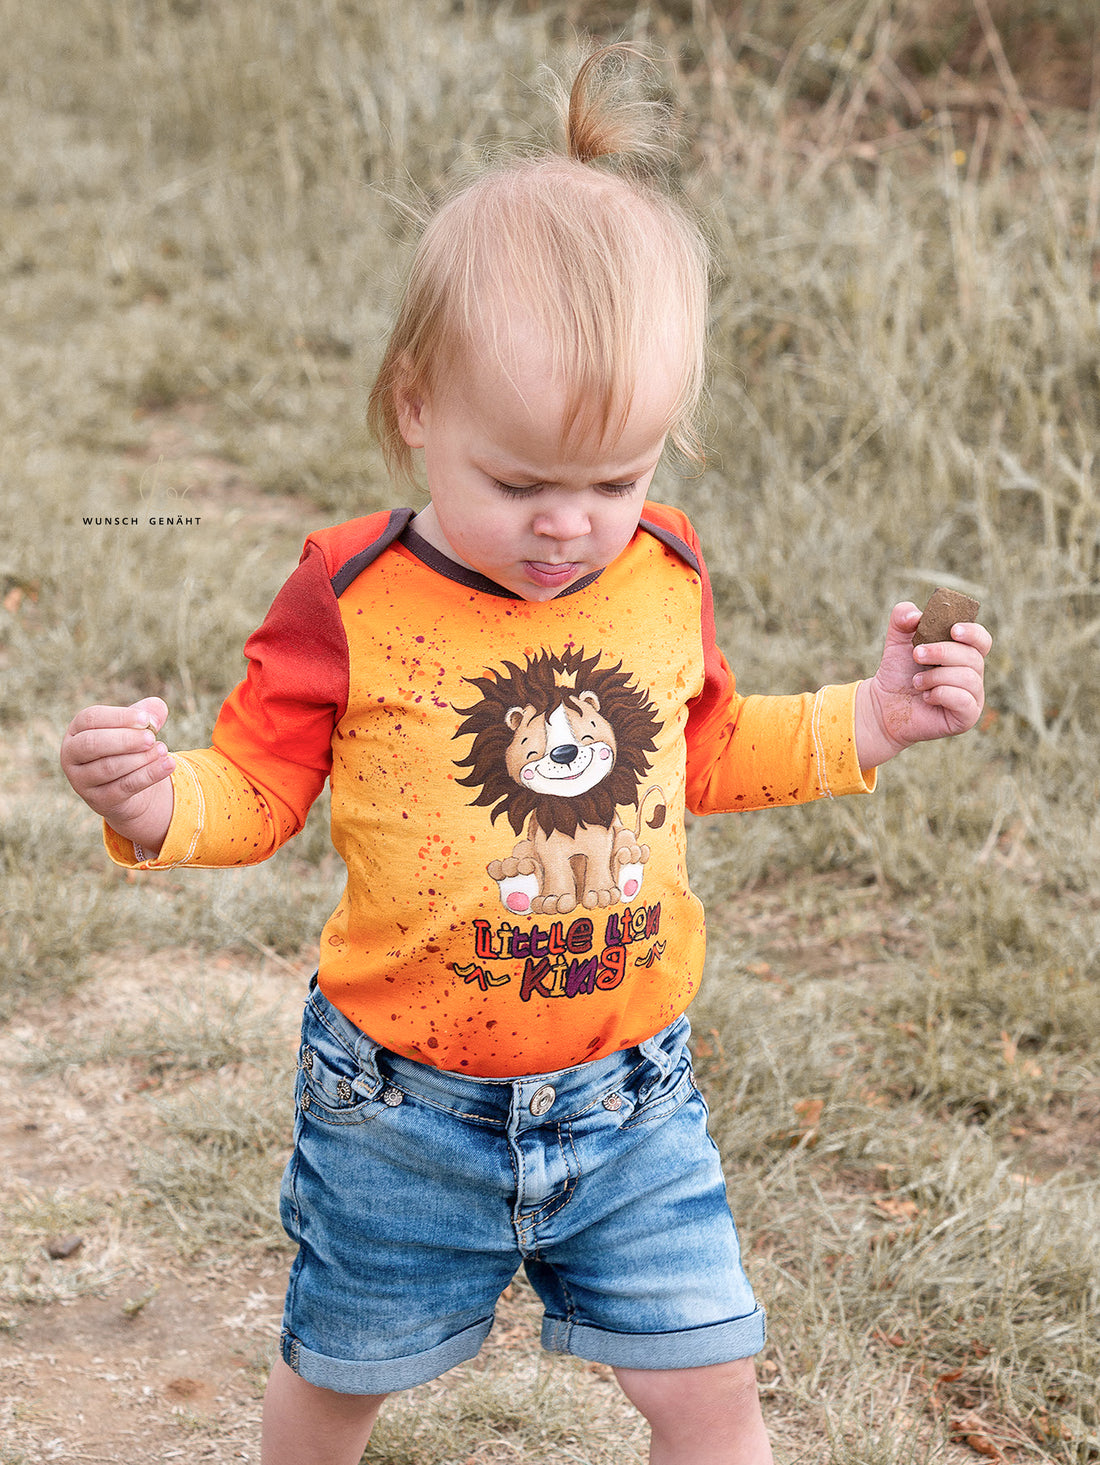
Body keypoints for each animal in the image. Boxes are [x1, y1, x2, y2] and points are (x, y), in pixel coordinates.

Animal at [452, 647, 666, 916]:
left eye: (590, 729)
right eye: (529, 744)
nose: (564, 753)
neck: (572, 807)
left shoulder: (602, 837)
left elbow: (599, 861)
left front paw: (602, 895)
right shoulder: (548, 845)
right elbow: (556, 870)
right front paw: (553, 900)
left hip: (623, 834)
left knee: (627, 844)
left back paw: (630, 866)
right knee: (524, 856)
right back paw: (515, 879)